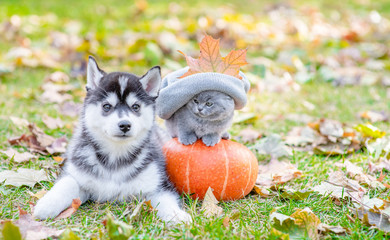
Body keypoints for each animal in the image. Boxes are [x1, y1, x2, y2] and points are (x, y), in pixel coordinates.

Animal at [33, 57, 192, 224]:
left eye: (136, 107)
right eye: (107, 106)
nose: (125, 125)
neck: (115, 156)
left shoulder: (158, 183)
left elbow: (166, 200)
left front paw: (177, 215)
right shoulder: (77, 174)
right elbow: (67, 183)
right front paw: (47, 204)